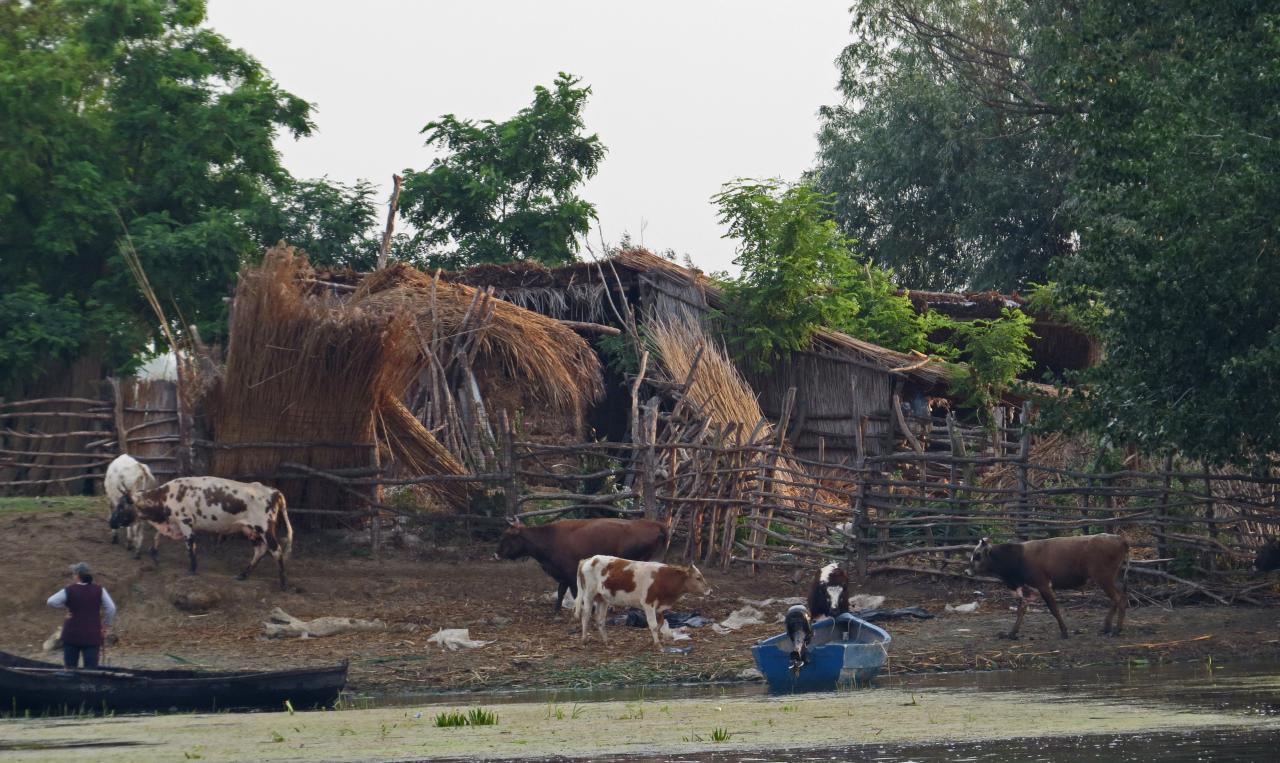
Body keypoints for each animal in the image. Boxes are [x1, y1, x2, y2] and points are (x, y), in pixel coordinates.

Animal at [108, 476, 293, 588]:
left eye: (121, 506)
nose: (110, 522)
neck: (166, 497)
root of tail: (273, 491)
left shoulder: (185, 522)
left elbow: (190, 546)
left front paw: (192, 570)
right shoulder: (171, 522)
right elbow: (157, 536)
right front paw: (154, 553)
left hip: (265, 529)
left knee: (276, 551)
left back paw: (283, 583)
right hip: (250, 530)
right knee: (260, 550)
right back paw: (243, 575)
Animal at [494, 514, 670, 611]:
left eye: (506, 536)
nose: (496, 554)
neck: (550, 538)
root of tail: (653, 523)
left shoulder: (571, 575)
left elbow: (574, 593)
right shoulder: (564, 575)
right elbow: (561, 591)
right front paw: (556, 609)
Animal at [967, 532, 1131, 640]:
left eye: (978, 555)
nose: (967, 571)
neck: (1017, 556)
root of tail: (1119, 538)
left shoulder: (1043, 585)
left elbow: (1053, 608)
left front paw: (1064, 632)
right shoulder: (1027, 589)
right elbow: (1021, 611)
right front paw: (1012, 633)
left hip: (1104, 578)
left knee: (1119, 599)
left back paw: (1116, 629)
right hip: (1111, 578)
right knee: (1120, 598)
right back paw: (1107, 627)